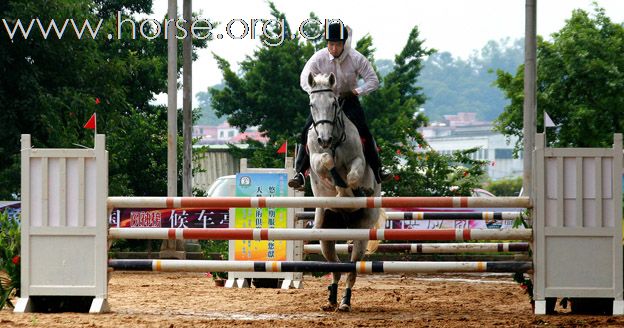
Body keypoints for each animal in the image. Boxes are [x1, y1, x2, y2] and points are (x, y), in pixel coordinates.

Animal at [306, 72, 386, 312]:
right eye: (312, 104)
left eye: (334, 103)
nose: (324, 139)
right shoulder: (316, 159)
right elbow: (326, 161)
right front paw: (337, 182)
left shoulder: (358, 160)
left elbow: (352, 177)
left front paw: (355, 190)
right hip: (325, 234)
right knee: (335, 267)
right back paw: (331, 298)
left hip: (361, 233)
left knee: (352, 268)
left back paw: (344, 302)